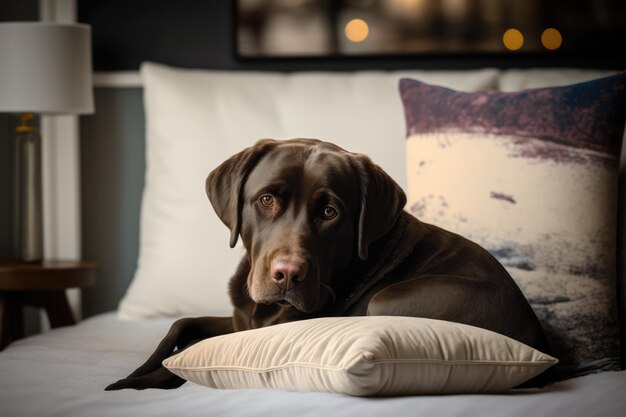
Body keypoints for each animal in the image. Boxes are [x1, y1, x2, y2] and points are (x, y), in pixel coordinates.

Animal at [108, 138, 552, 388]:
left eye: (329, 212)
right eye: (266, 199)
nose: (287, 275)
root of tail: (538, 340)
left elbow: (198, 353)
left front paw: (144, 381)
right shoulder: (242, 320)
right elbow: (182, 325)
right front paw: (136, 371)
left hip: (389, 302)